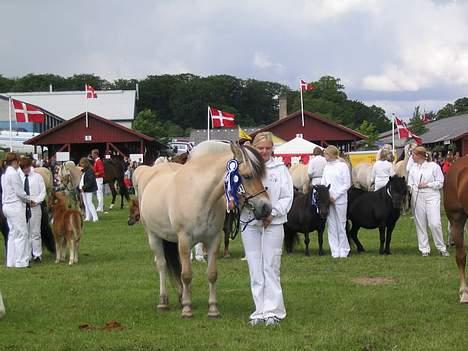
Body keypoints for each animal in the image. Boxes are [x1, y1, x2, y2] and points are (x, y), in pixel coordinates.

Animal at [139, 141, 270, 320]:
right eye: (248, 175)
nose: (266, 207)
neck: (200, 196)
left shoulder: (213, 240)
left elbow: (212, 274)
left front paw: (213, 309)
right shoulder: (185, 240)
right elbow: (186, 275)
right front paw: (187, 310)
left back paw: (181, 297)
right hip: (154, 236)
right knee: (162, 265)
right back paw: (163, 302)